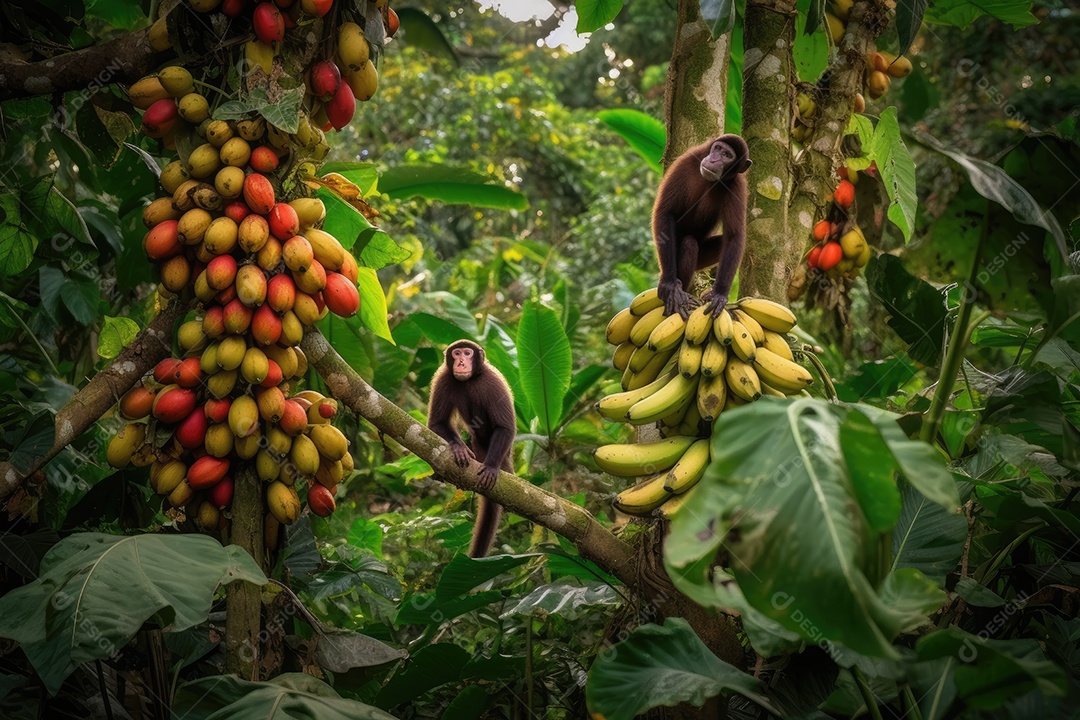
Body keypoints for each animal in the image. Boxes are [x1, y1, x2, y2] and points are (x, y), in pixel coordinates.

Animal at [427, 339, 516, 558]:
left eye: (467, 353)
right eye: (457, 353)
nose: (460, 362)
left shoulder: (492, 380)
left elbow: (505, 427)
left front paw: (491, 466)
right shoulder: (443, 378)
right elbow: (436, 423)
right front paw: (459, 447)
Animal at [652, 134, 753, 319]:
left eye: (727, 155)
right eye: (718, 148)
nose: (713, 159)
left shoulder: (736, 185)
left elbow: (734, 236)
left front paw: (719, 294)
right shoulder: (686, 161)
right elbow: (665, 212)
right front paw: (670, 285)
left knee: (701, 244)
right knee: (688, 244)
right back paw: (678, 292)